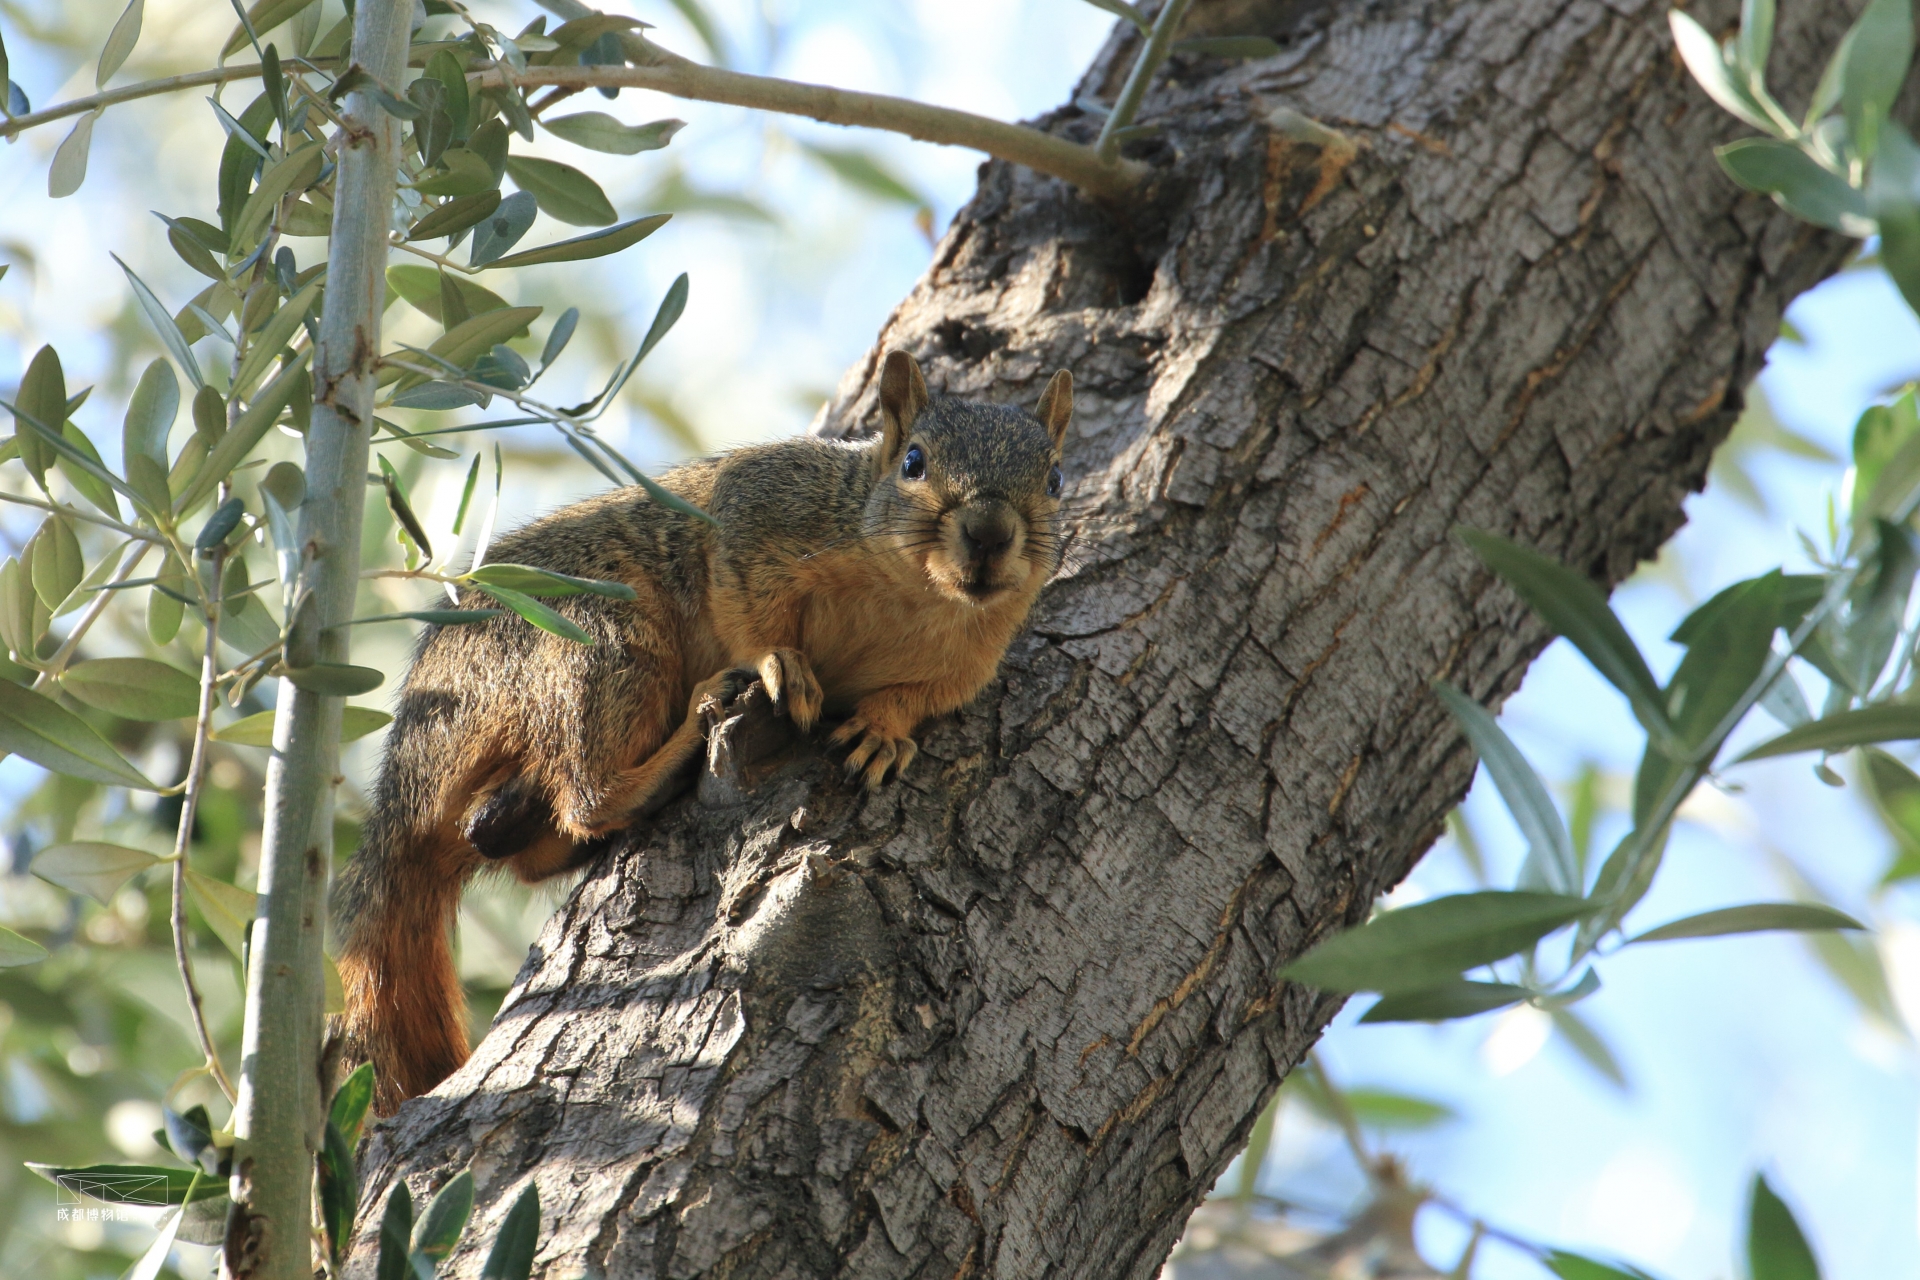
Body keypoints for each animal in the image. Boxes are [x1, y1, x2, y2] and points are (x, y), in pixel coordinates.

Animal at [336, 347, 1075, 1113]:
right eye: (915, 462)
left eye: (1055, 477)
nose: (989, 534)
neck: (917, 597)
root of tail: (407, 777)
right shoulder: (760, 511)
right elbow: (747, 606)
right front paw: (781, 661)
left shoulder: (966, 663)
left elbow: (913, 699)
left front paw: (882, 729)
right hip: (601, 639)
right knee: (585, 793)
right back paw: (682, 741)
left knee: (508, 835)